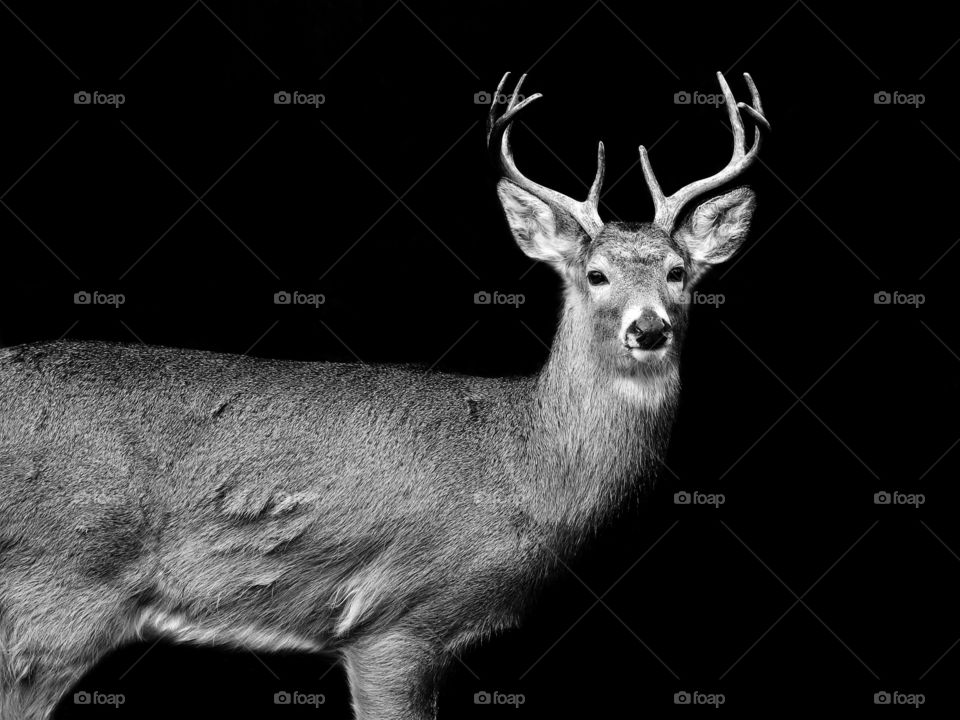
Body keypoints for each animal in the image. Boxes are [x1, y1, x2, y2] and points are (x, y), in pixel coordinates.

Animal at [0, 70, 768, 719]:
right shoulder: (397, 618)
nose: (649, 328)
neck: (527, 464)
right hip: (59, 591)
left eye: (678, 272)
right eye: (596, 274)